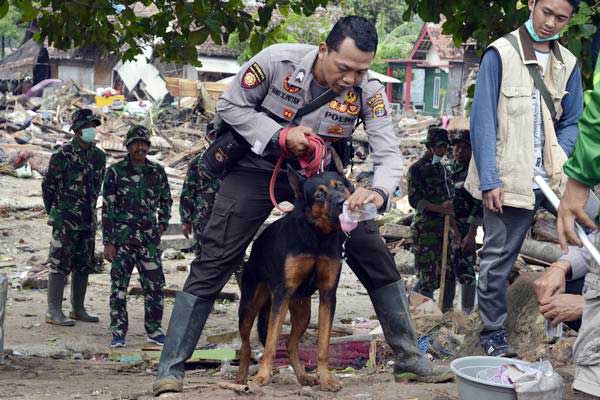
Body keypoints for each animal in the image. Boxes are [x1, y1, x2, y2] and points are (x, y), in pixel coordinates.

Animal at [237, 164, 354, 392]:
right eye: (319, 194)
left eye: (340, 186)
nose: (341, 203)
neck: (317, 236)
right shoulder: (282, 294)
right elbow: (271, 343)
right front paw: (261, 377)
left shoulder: (328, 294)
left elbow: (323, 345)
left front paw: (325, 378)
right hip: (249, 306)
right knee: (245, 345)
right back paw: (241, 378)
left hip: (302, 311)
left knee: (291, 344)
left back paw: (303, 376)